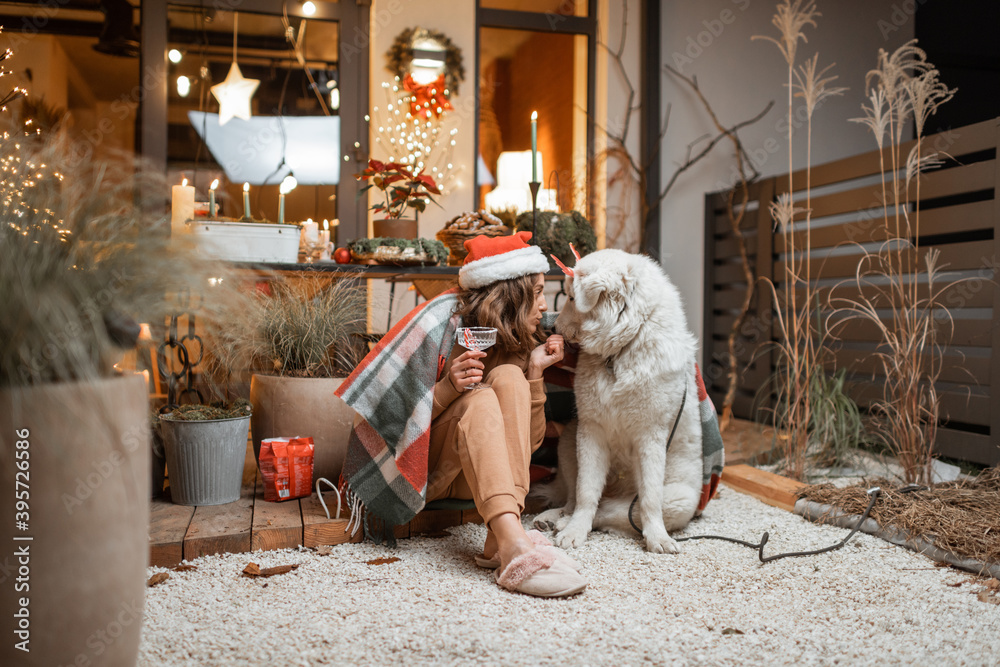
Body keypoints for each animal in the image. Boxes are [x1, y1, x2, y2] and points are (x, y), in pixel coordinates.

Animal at [540, 249, 704, 552]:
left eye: (572, 298)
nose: (551, 327)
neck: (622, 348)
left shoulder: (650, 437)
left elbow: (649, 498)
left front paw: (657, 538)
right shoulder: (591, 431)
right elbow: (586, 493)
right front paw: (575, 530)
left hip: (681, 500)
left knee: (616, 511)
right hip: (569, 440)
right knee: (574, 499)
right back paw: (556, 519)